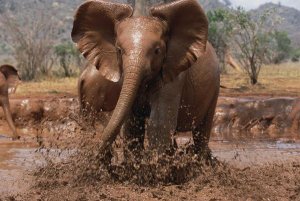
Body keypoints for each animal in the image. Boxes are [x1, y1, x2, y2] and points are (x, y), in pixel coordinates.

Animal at [71, 0, 219, 158]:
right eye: (119, 50)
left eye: (157, 51)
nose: (104, 156)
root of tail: (81, 77)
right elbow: (133, 125)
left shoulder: (174, 74)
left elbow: (159, 123)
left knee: (201, 131)